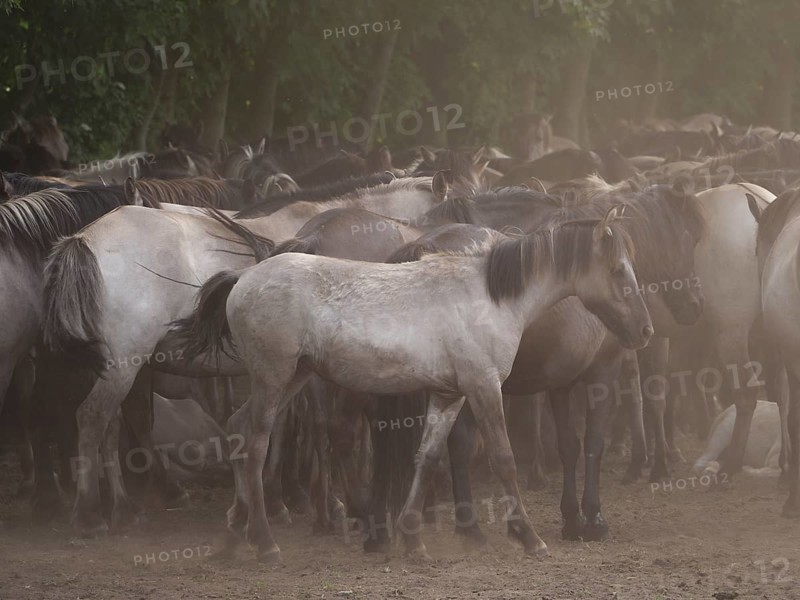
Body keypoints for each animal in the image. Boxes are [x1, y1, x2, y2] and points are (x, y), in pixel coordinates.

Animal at [171, 209, 652, 563]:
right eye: (617, 270)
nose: (645, 331)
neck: (488, 297)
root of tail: (244, 278)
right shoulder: (484, 387)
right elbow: (503, 458)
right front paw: (529, 536)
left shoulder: (449, 394)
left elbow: (428, 457)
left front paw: (413, 539)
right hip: (274, 379)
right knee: (255, 444)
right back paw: (267, 543)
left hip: (294, 377)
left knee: (238, 429)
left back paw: (233, 538)